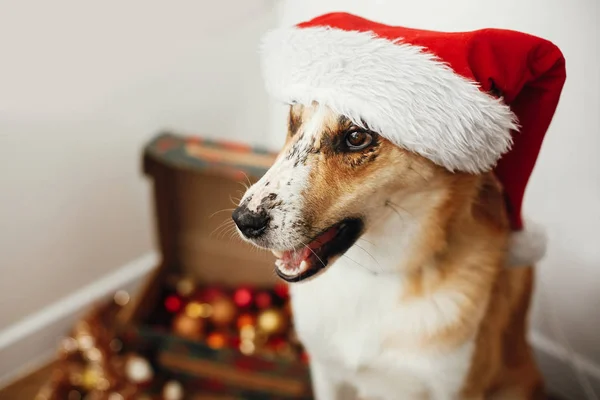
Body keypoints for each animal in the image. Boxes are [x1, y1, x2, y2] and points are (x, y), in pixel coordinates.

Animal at [232, 103, 548, 400]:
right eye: (293, 121)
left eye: (357, 136)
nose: (244, 221)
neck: (377, 271)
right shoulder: (327, 373)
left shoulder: (457, 387)